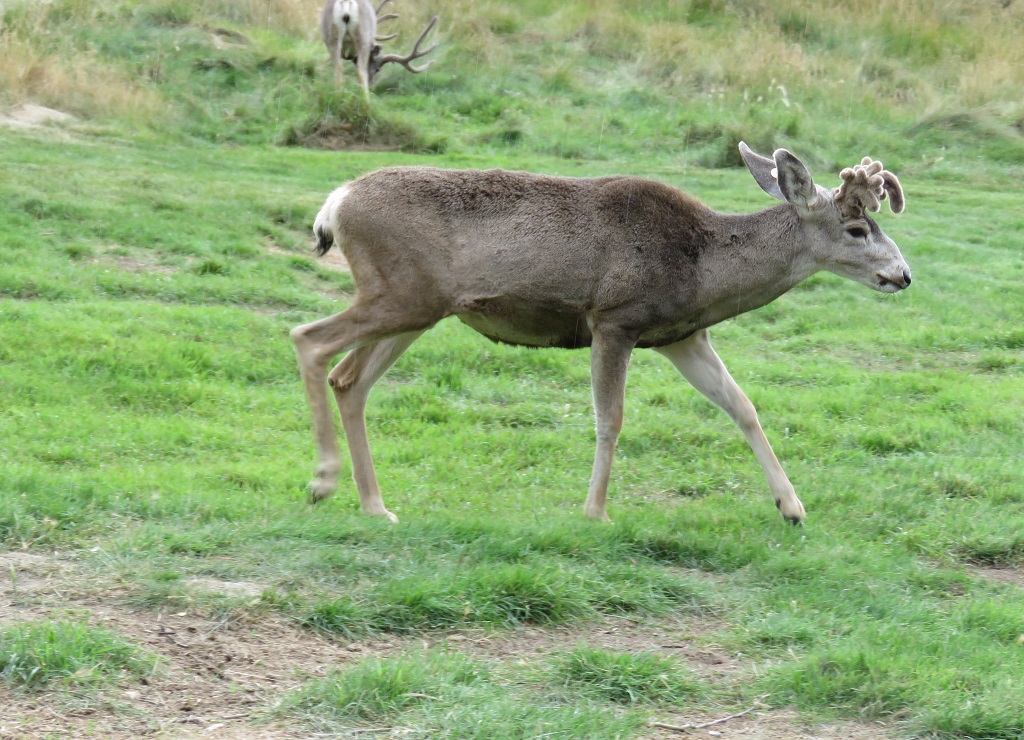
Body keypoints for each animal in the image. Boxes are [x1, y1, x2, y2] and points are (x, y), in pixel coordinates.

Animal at [290, 143, 910, 526]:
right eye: (857, 228)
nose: (903, 274)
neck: (704, 265)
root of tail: (335, 203)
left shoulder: (683, 335)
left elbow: (743, 406)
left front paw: (792, 507)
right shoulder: (614, 318)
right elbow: (610, 419)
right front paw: (596, 512)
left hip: (417, 305)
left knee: (350, 379)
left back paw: (374, 505)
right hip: (402, 294)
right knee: (309, 338)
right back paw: (322, 481)